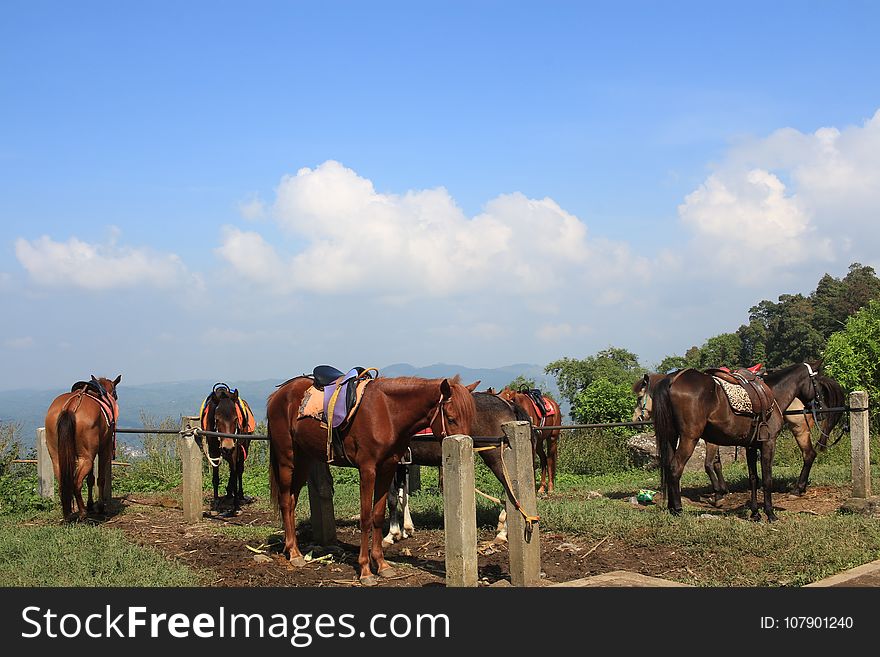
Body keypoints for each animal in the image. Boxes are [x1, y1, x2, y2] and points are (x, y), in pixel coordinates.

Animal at [44, 376, 121, 520]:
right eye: (115, 394)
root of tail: (71, 407)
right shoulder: (104, 448)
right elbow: (100, 479)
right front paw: (100, 507)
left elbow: (90, 479)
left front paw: (90, 504)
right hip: (86, 458)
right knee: (76, 483)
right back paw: (83, 513)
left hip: (57, 457)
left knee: (63, 482)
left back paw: (69, 513)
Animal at [199, 382, 254, 516]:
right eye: (217, 419)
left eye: (236, 419)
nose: (227, 447)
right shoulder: (214, 451)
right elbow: (215, 478)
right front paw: (215, 506)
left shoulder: (235, 450)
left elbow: (235, 474)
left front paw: (236, 507)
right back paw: (229, 493)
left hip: (244, 447)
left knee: (239, 470)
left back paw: (239, 495)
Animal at [266, 374, 478, 584]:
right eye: (451, 418)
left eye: (471, 418)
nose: (467, 448)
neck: (388, 412)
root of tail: (277, 395)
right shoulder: (367, 470)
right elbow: (366, 518)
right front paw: (366, 570)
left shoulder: (387, 468)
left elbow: (377, 515)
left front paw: (382, 565)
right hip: (287, 459)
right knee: (285, 501)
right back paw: (294, 553)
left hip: (304, 460)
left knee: (292, 501)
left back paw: (293, 549)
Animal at [386, 386, 536, 544]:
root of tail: (508, 404)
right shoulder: (402, 463)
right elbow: (403, 495)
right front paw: (406, 529)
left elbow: (392, 497)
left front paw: (392, 534)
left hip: (497, 458)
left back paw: (503, 532)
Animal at [652, 362, 832, 520]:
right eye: (817, 382)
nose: (823, 409)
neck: (773, 395)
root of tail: (673, 379)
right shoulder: (768, 443)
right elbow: (767, 479)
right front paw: (770, 514)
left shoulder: (750, 446)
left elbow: (754, 478)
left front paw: (755, 513)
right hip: (689, 438)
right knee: (675, 468)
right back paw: (677, 509)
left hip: (672, 437)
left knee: (668, 467)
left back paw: (671, 507)